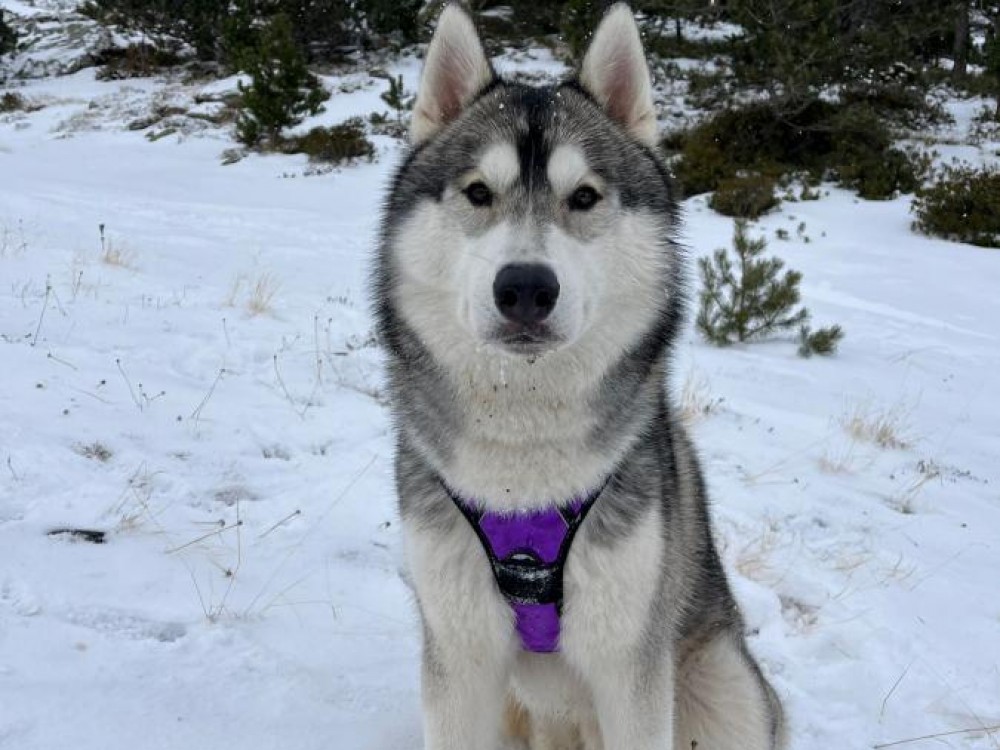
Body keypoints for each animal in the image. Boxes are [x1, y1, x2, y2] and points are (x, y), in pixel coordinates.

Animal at [372, 3, 785, 749]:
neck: (522, 480)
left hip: (723, 684)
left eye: (585, 196)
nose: (526, 289)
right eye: (478, 192)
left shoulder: (632, 666)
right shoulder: (458, 654)